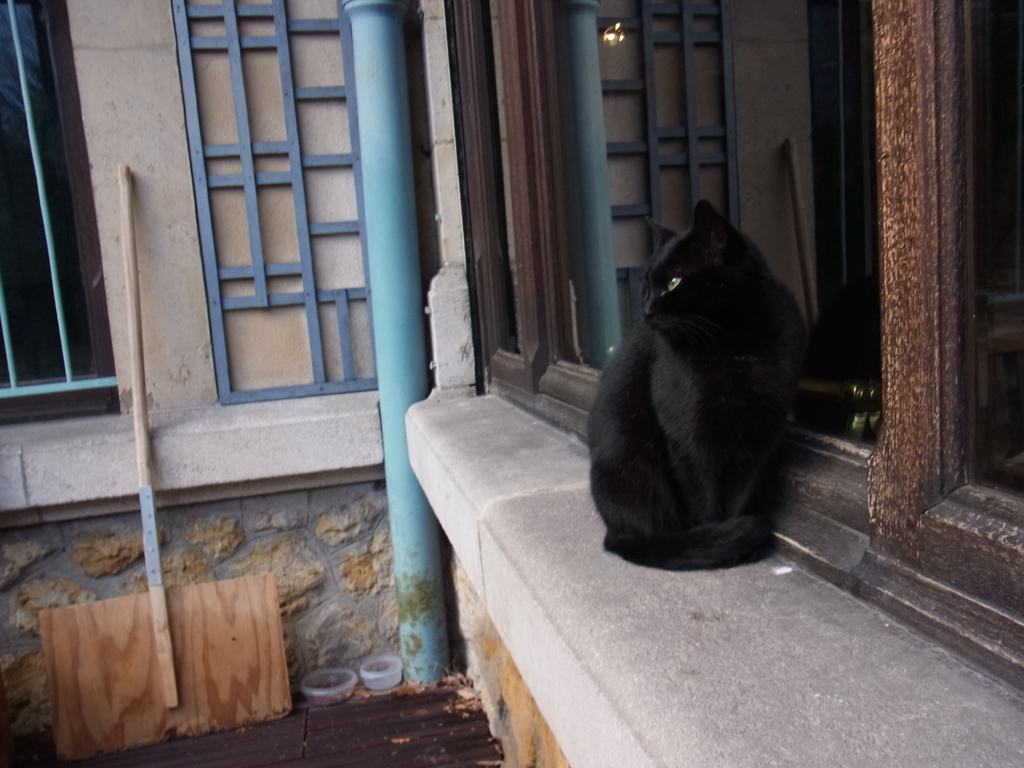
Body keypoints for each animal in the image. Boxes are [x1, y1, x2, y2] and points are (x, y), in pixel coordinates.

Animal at [589, 199, 802, 573]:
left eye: (674, 282)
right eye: (646, 284)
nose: (646, 309)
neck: (735, 349)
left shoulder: (762, 437)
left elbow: (740, 495)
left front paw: (736, 539)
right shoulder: (688, 439)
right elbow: (703, 499)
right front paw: (719, 541)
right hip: (631, 469)